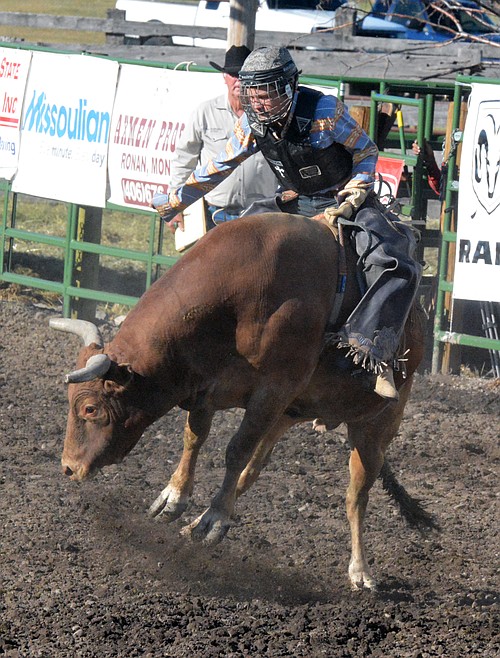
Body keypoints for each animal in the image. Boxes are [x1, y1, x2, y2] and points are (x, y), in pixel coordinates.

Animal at [49, 213, 434, 588]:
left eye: (89, 408)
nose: (68, 467)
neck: (238, 297)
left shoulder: (273, 389)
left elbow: (235, 450)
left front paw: (214, 520)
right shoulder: (208, 389)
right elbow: (195, 438)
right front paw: (174, 498)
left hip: (374, 427)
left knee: (356, 496)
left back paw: (360, 571)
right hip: (286, 415)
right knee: (253, 470)